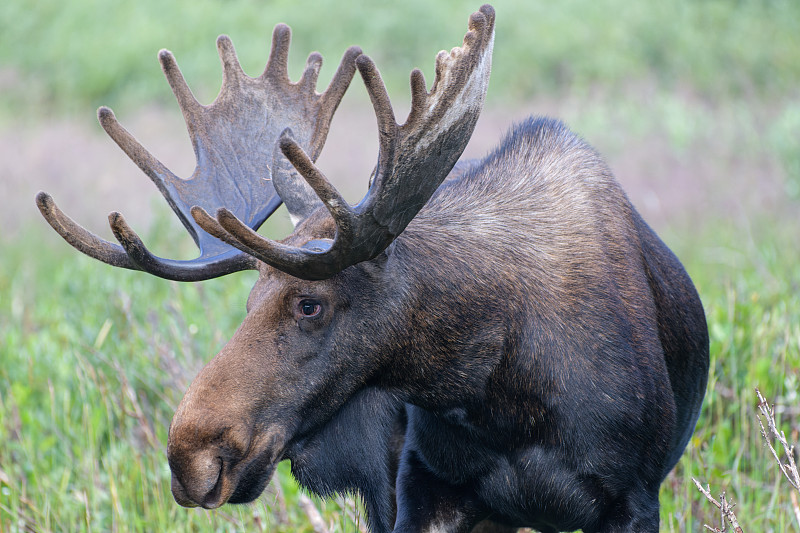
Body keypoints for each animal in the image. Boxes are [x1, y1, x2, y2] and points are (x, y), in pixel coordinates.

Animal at [40, 5, 708, 532]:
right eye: (249, 301)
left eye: (310, 303)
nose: (191, 458)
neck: (495, 387)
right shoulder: (421, 491)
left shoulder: (633, 499)